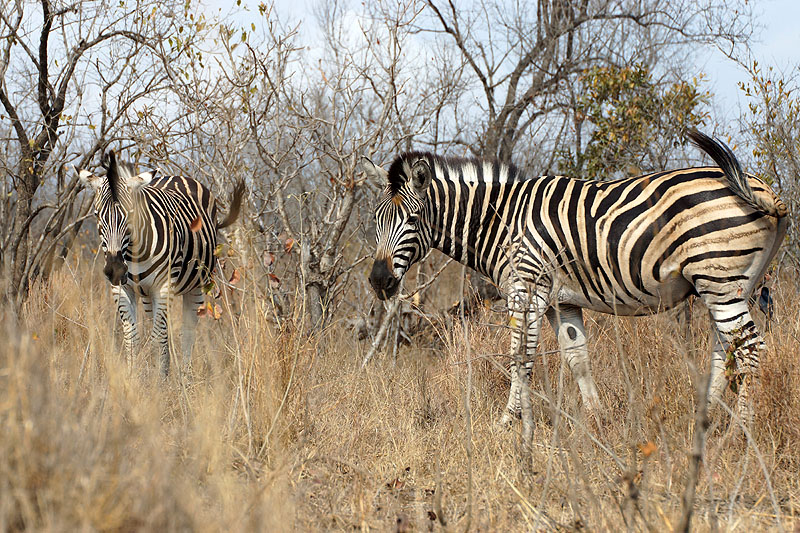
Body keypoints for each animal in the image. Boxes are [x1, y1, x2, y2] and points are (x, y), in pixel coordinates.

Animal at [80, 148, 247, 376]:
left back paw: (185, 377)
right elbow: (133, 339)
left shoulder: (164, 286)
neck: (133, 253)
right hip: (147, 294)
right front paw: (133, 378)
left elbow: (157, 338)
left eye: (131, 214)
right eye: (97, 214)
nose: (115, 270)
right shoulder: (122, 290)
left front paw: (157, 379)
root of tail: (177, 176)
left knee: (187, 331)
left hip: (195, 286)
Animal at [366, 131, 792, 426]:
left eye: (412, 219)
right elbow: (577, 359)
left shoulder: (527, 289)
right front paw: (597, 419)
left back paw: (739, 431)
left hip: (719, 279)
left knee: (749, 350)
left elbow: (520, 358)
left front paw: (508, 424)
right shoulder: (561, 301)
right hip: (728, 285)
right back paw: (705, 422)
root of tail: (764, 189)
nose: (379, 281)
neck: (502, 221)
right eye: (375, 220)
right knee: (725, 349)